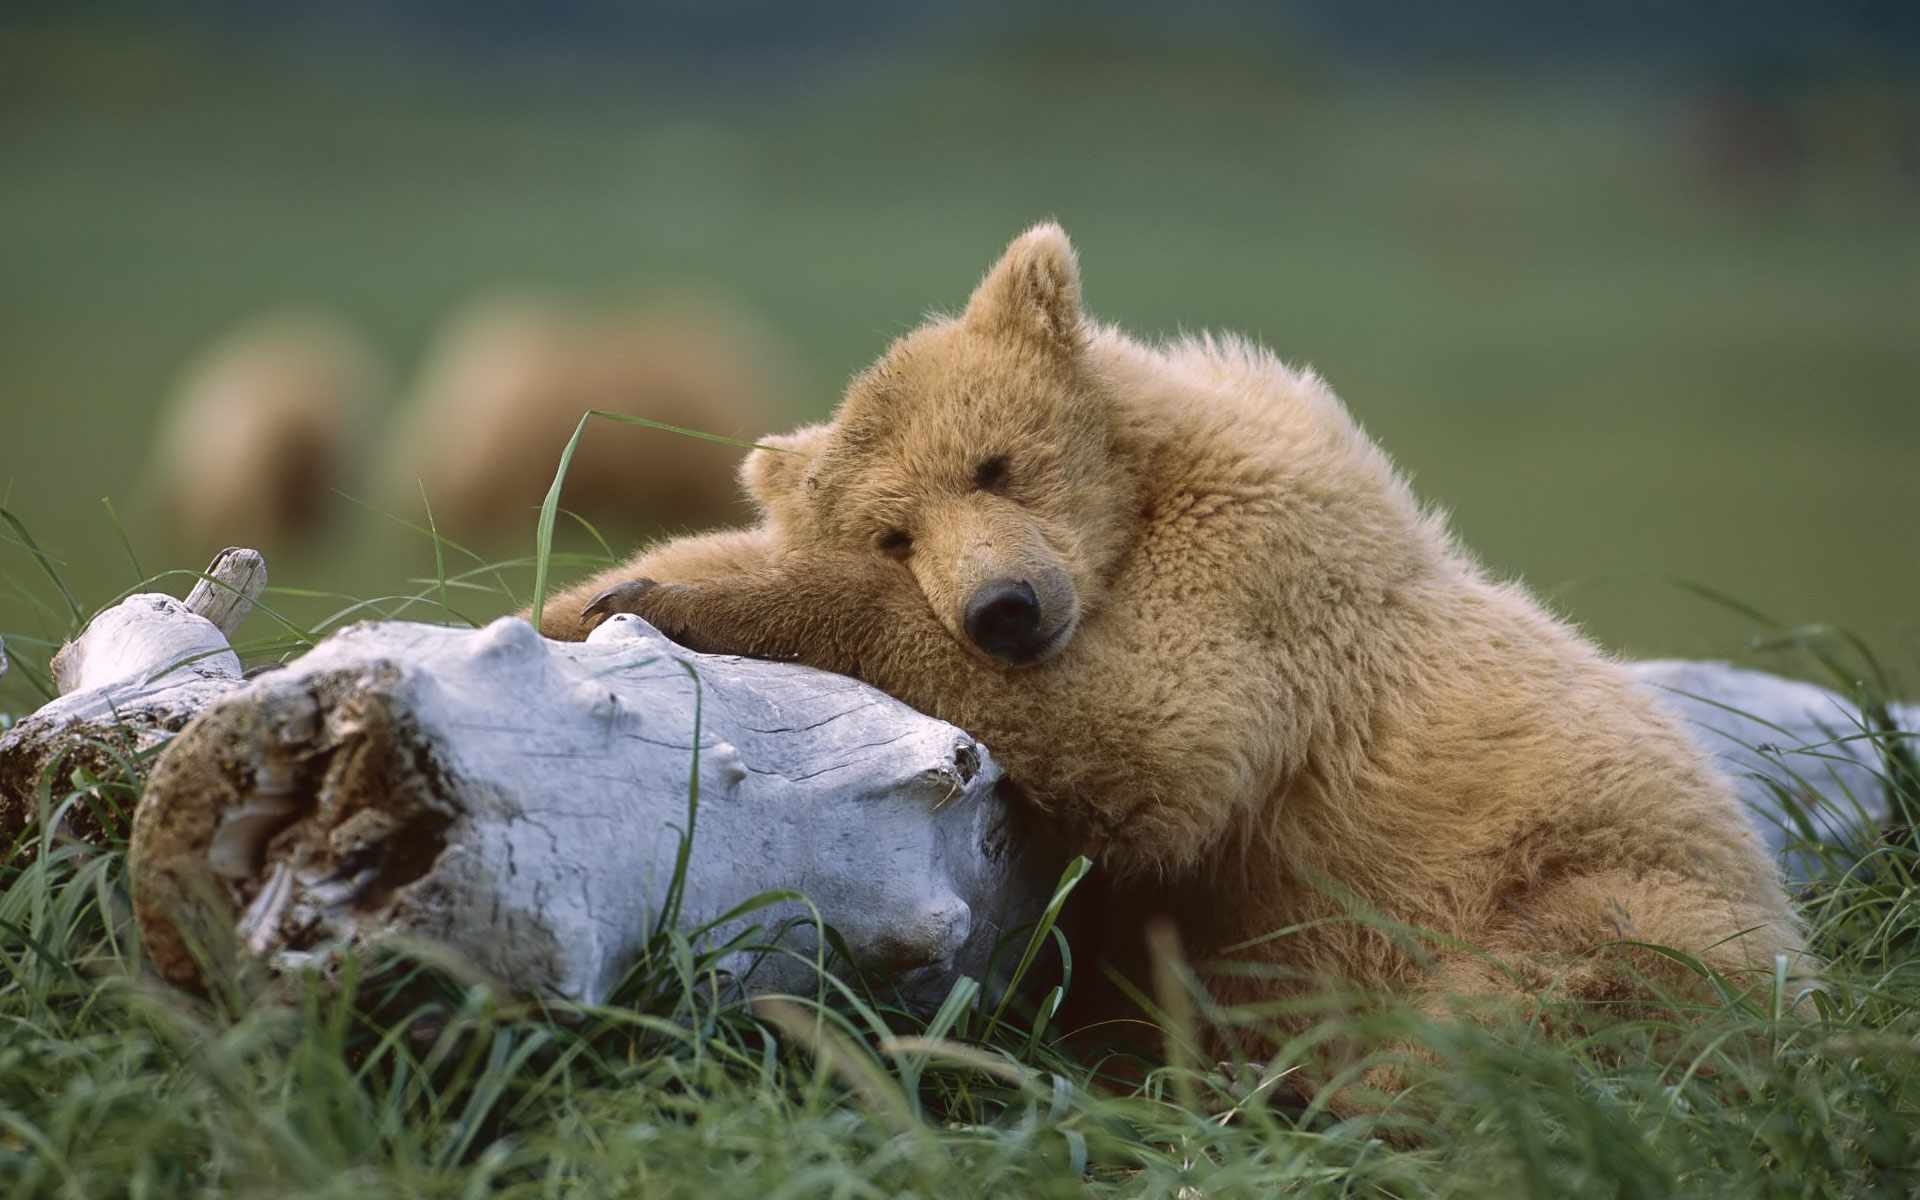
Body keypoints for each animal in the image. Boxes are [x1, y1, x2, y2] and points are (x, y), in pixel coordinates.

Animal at [537, 224, 1797, 1059]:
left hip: (1608, 885)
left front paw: (691, 603)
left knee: (1552, 999)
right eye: (896, 531)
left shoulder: (1261, 570)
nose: (1004, 609)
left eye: (995, 464)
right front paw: (592, 594)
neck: (1140, 501)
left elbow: (1149, 733)